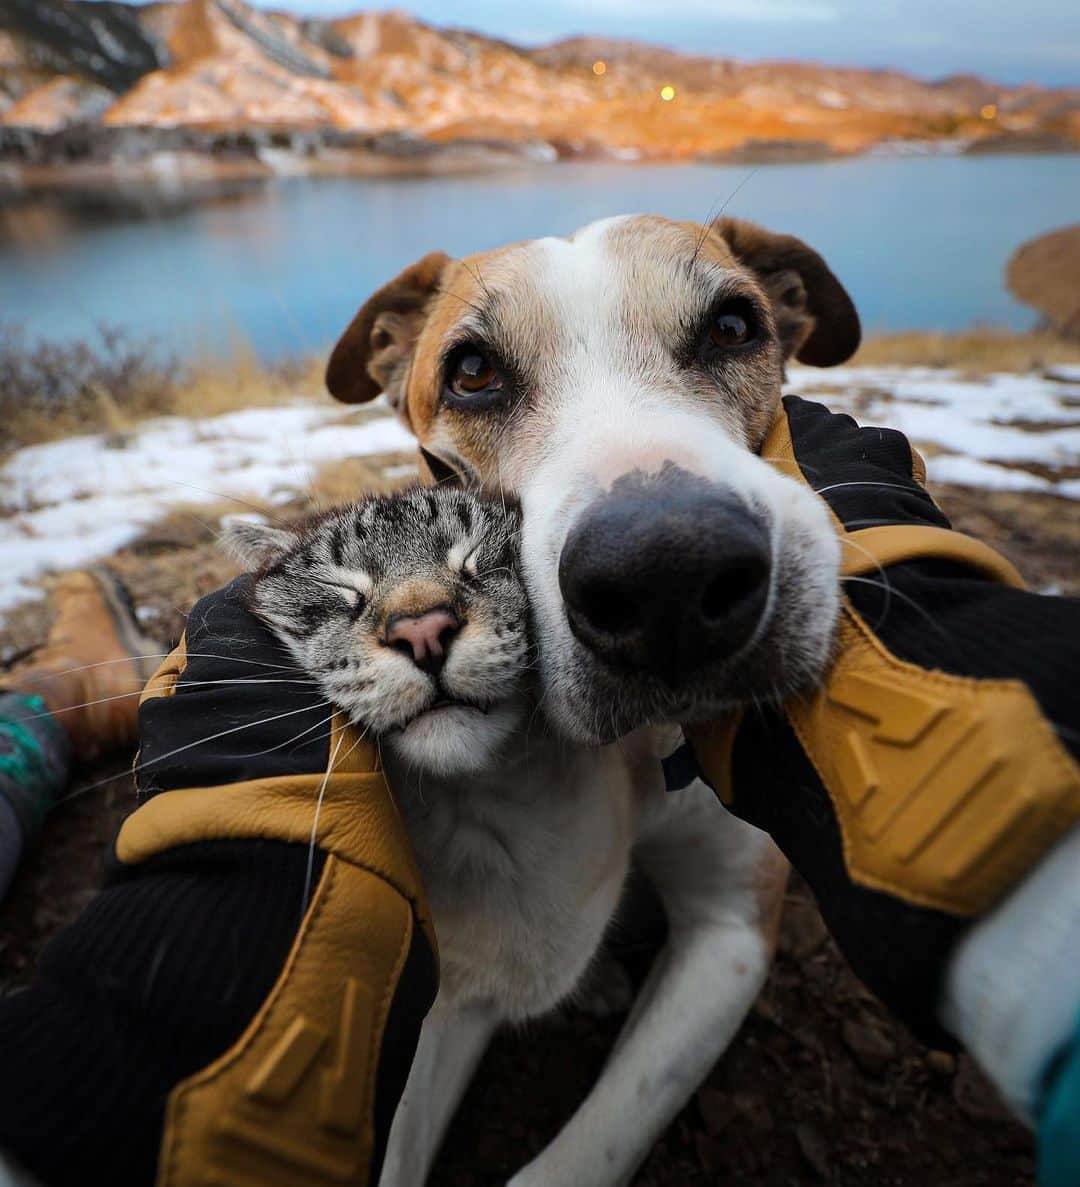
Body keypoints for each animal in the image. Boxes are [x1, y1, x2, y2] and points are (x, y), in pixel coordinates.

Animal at [325, 216, 859, 1187]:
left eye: (734, 326)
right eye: (472, 371)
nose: (666, 574)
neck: (647, 753)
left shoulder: (733, 928)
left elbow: (588, 1148)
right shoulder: (451, 993)